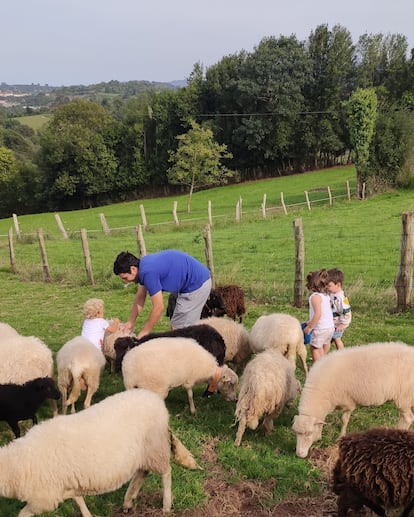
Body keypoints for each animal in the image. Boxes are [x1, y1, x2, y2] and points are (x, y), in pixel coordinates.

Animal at [0, 390, 201, 512]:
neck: (16, 464)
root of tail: (155, 399)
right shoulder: (65, 487)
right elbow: (79, 500)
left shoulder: (43, 500)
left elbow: (23, 514)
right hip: (145, 452)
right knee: (143, 472)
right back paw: (128, 501)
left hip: (155, 448)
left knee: (166, 472)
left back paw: (166, 505)